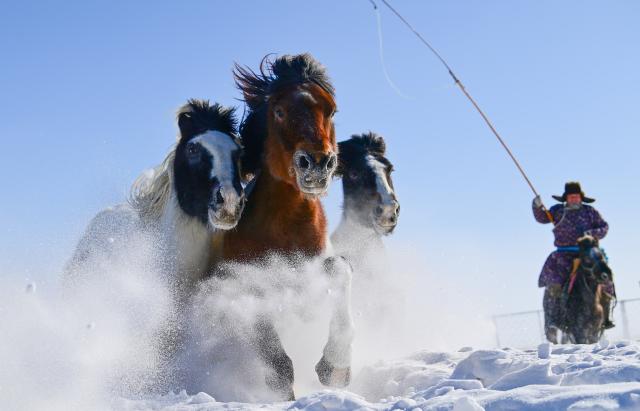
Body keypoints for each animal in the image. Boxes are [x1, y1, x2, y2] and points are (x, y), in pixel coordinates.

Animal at [215, 54, 352, 400]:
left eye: (331, 110)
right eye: (279, 111)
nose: (317, 164)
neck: (288, 228)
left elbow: (340, 270)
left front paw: (336, 367)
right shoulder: (248, 284)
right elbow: (278, 366)